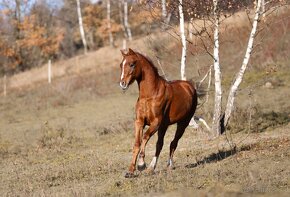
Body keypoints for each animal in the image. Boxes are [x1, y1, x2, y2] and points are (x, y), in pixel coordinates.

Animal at [118, 48, 197, 178]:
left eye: (132, 64)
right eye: (121, 65)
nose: (122, 84)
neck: (150, 95)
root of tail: (190, 87)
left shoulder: (155, 123)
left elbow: (145, 137)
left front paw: (141, 165)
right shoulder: (139, 122)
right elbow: (137, 143)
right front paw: (130, 171)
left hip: (182, 124)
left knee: (173, 143)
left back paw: (168, 165)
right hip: (164, 127)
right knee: (160, 144)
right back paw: (151, 168)